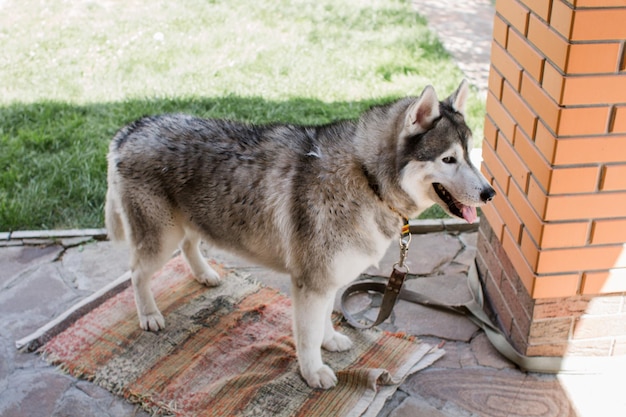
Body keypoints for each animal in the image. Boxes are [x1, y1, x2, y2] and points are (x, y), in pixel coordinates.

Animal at [106, 79, 492, 388]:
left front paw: (330, 340)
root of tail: (131, 129)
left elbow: (323, 321)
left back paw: (204, 275)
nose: (490, 193)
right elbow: (306, 335)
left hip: (191, 224)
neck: (367, 178)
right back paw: (149, 315)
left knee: (188, 246)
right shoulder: (311, 282)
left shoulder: (329, 279)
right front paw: (313, 372)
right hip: (161, 239)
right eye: (448, 159)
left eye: (469, 154)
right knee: (136, 272)